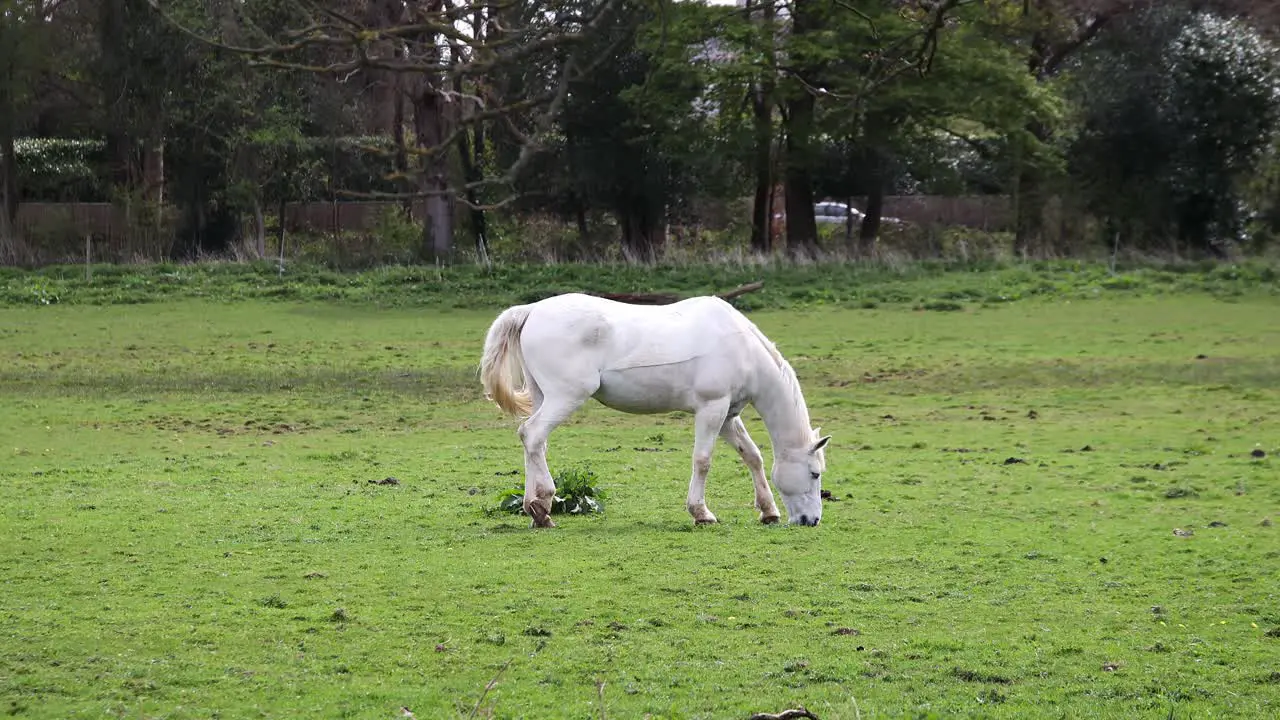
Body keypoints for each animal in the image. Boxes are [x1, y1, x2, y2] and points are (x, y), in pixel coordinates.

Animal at [481, 292, 829, 527]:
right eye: (814, 473)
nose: (811, 520)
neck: (742, 347)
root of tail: (531, 310)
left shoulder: (728, 416)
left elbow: (753, 456)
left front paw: (768, 510)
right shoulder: (711, 409)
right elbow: (703, 460)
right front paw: (701, 513)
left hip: (545, 397)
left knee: (535, 444)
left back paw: (537, 509)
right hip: (566, 396)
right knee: (532, 434)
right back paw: (541, 506)